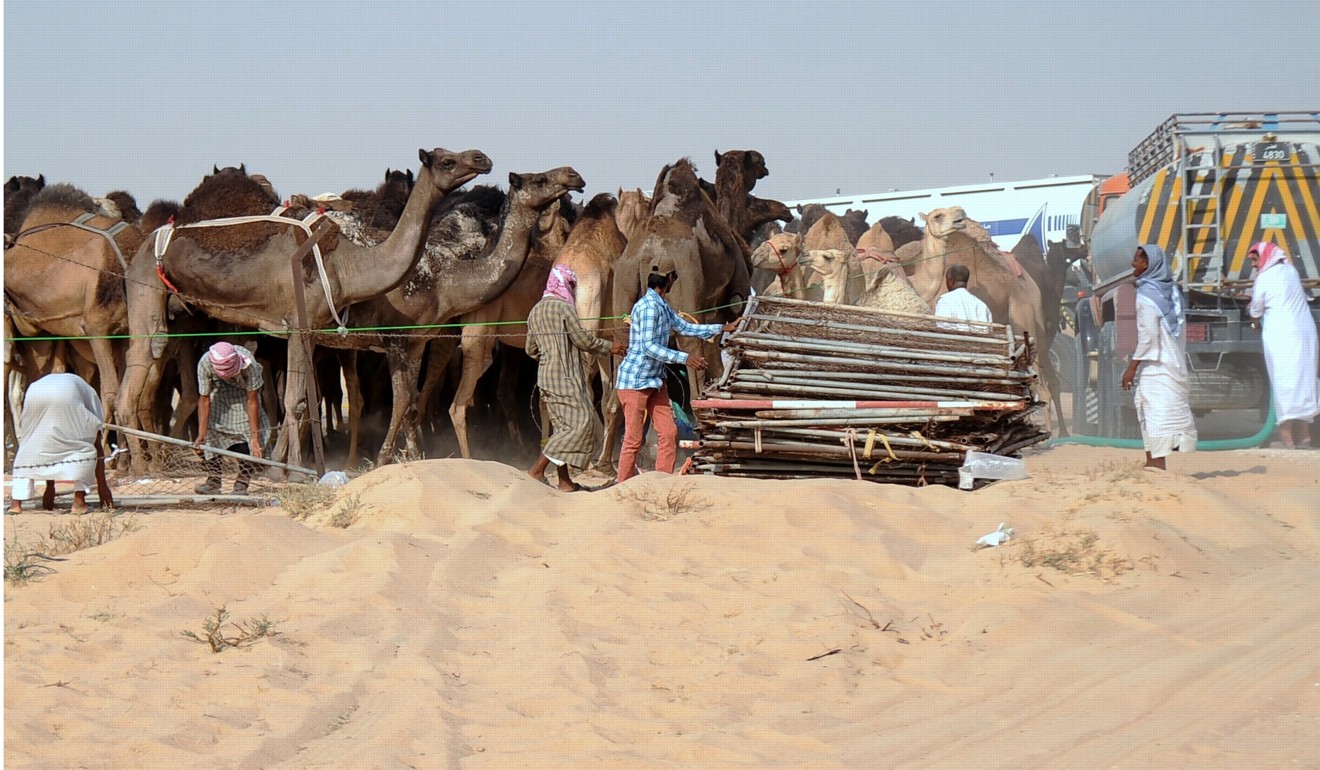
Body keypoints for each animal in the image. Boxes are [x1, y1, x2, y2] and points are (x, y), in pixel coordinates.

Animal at [120, 145, 496, 470]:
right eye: (447, 161)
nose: (482, 157)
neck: (349, 262)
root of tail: (143, 246)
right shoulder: (299, 325)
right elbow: (293, 402)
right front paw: (293, 471)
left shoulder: (309, 330)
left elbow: (297, 401)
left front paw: (283, 467)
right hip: (145, 290)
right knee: (134, 379)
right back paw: (141, 467)